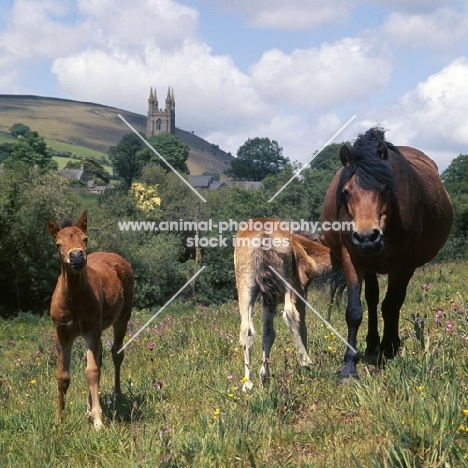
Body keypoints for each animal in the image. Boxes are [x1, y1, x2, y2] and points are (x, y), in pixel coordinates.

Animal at [47, 210, 133, 430]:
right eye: (58, 244)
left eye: (85, 239)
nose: (77, 256)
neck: (73, 298)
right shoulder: (61, 333)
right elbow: (62, 375)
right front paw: (59, 420)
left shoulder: (91, 330)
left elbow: (92, 371)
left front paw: (98, 421)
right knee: (100, 358)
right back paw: (88, 408)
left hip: (122, 319)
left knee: (116, 353)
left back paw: (117, 394)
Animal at [322, 128, 454, 380]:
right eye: (345, 192)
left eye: (385, 189)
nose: (367, 237)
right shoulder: (352, 258)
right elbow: (354, 311)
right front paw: (349, 367)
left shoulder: (401, 263)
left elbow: (390, 305)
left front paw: (387, 350)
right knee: (372, 299)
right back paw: (372, 345)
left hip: (406, 267)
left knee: (394, 302)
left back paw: (389, 344)